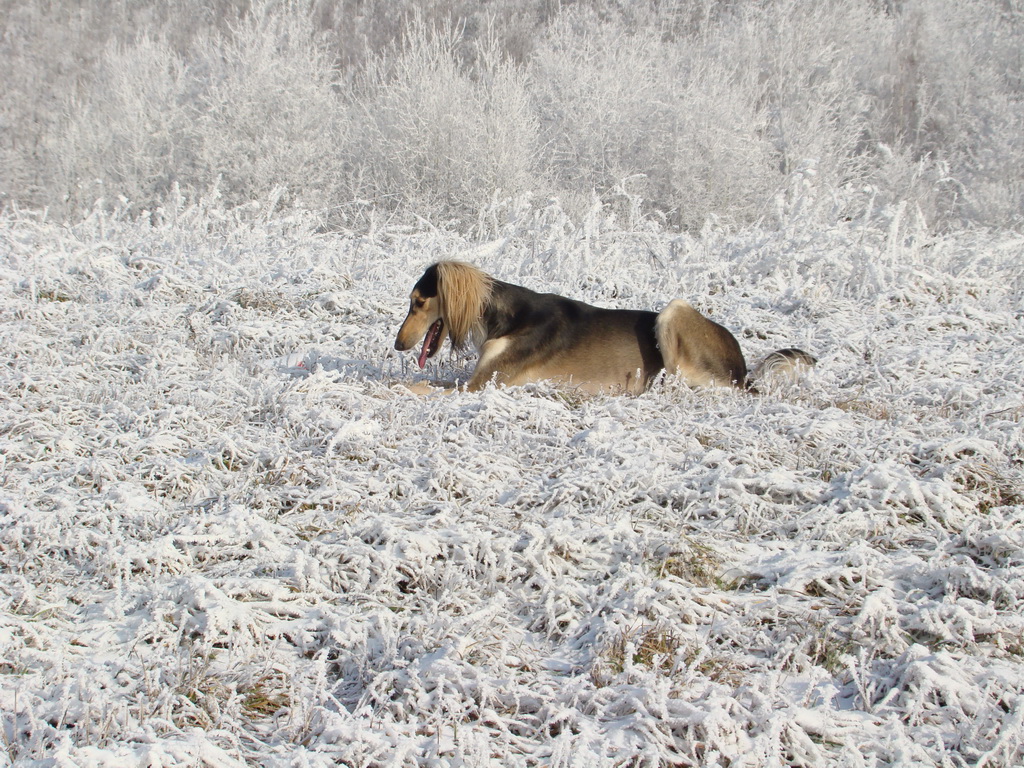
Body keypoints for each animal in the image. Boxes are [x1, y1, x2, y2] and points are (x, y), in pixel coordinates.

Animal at [393, 264, 815, 397]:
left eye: (418, 302)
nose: (398, 344)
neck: (504, 316)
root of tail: (743, 368)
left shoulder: (483, 385)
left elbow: (423, 387)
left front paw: (391, 387)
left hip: (674, 312)